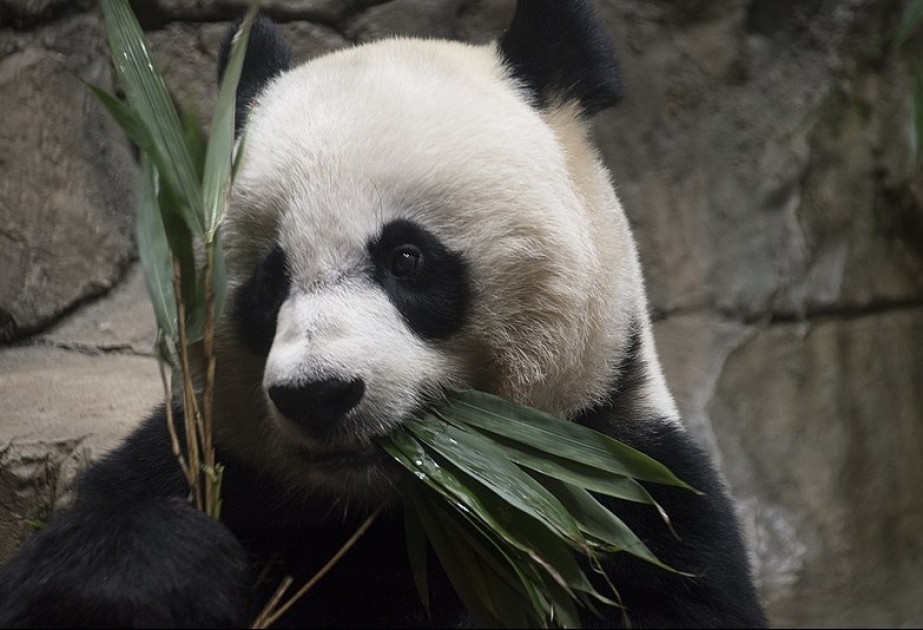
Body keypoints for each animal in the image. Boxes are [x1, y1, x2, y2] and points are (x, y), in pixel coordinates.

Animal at [0, 1, 768, 628]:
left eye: (406, 258)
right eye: (269, 282)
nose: (317, 395)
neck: (385, 507)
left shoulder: (622, 497)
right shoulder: (215, 458)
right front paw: (165, 570)